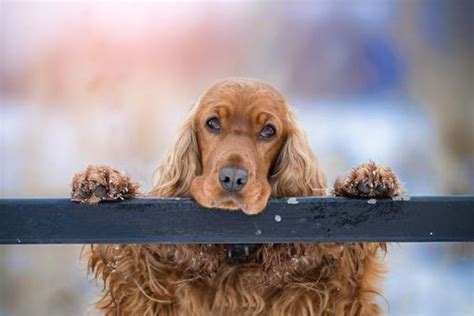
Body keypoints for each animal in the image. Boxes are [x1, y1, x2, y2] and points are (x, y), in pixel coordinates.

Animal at [72, 78, 402, 314]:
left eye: (268, 130)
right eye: (212, 123)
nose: (232, 178)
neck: (236, 252)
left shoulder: (331, 294)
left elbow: (348, 267)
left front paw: (367, 179)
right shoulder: (150, 293)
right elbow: (129, 261)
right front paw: (101, 180)